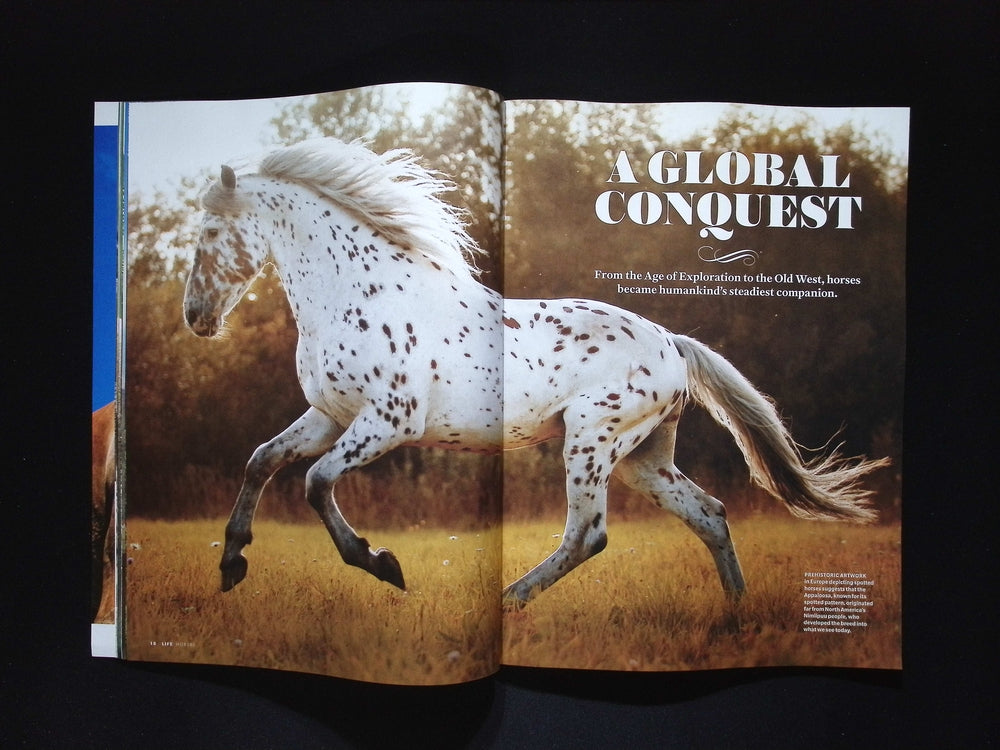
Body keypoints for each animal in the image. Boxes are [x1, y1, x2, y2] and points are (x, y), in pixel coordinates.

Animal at [182, 138, 887, 607]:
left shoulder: (386, 422)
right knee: (709, 514)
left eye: (212, 230)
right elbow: (262, 461)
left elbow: (314, 483)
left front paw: (383, 566)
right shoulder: (330, 416)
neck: (363, 291)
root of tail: (672, 343)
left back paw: (509, 602)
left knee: (588, 534)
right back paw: (733, 616)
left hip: (592, 440)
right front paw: (231, 564)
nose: (196, 317)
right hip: (643, 458)